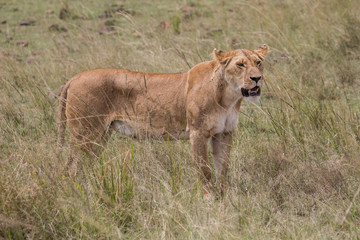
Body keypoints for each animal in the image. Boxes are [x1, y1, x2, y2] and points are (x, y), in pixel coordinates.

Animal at [57, 44, 268, 193]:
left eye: (258, 62)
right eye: (240, 64)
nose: (257, 78)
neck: (228, 97)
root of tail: (74, 78)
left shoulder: (224, 133)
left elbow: (222, 169)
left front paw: (223, 199)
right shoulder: (198, 132)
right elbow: (205, 171)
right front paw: (209, 200)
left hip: (100, 135)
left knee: (82, 166)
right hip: (85, 134)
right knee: (71, 169)